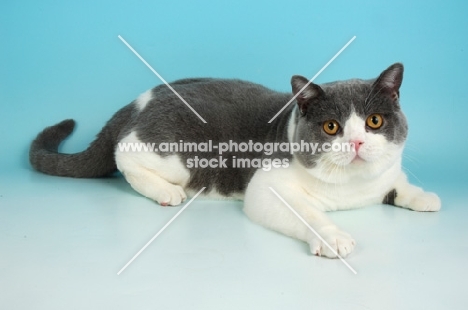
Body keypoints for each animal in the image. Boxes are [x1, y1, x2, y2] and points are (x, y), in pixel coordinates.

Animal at [30, 63, 442, 260]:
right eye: (331, 127)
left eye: (374, 122)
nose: (356, 141)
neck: (353, 188)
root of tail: (138, 101)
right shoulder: (268, 187)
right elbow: (307, 214)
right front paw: (333, 237)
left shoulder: (385, 174)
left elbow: (396, 182)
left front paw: (423, 196)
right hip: (176, 154)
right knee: (123, 154)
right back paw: (166, 192)